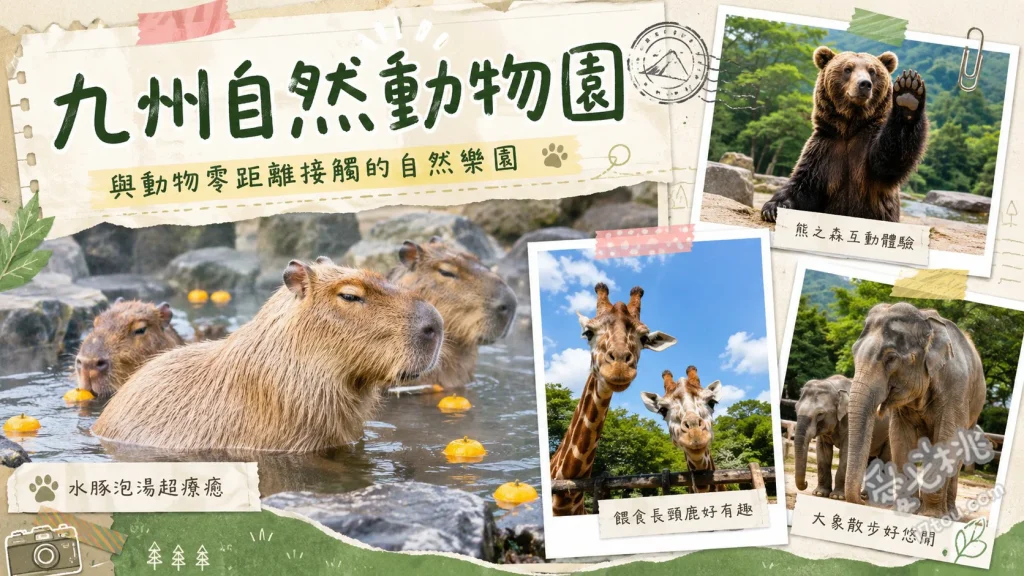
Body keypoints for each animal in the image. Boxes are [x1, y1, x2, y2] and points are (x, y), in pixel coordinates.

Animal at [844, 303, 986, 518]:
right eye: (853, 352)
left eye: (891, 357)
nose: (861, 499)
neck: (926, 320)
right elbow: (900, 438)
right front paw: (907, 510)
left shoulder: (956, 388)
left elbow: (949, 437)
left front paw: (930, 515)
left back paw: (950, 514)